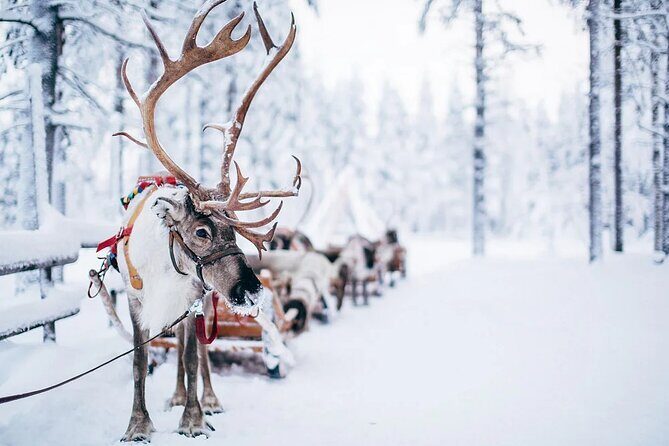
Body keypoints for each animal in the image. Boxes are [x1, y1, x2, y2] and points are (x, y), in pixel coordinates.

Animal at [105, 0, 300, 441]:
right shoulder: (136, 302)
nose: (252, 291)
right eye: (201, 231)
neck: (165, 268)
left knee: (195, 352)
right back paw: (176, 396)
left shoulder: (194, 298)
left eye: (236, 234)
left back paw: (204, 399)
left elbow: (194, 357)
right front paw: (138, 425)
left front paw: (194, 419)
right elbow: (140, 361)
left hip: (206, 300)